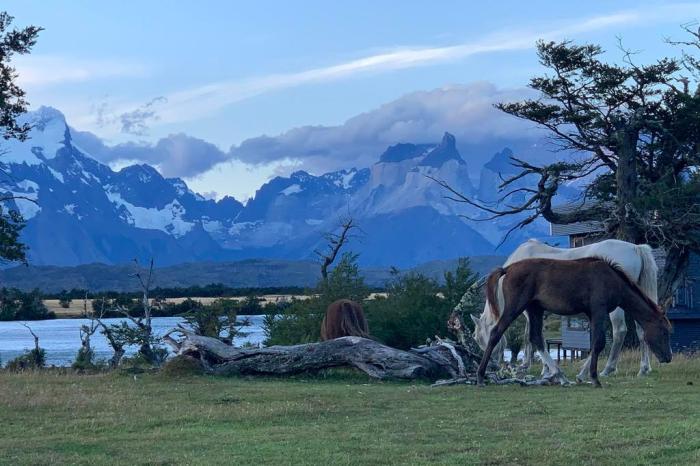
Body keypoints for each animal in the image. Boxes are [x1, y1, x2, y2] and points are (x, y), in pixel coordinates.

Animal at [468, 238, 660, 380]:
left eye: (477, 338)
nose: (493, 364)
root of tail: (635, 247)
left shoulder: (529, 311)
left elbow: (531, 337)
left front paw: (538, 368)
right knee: (643, 328)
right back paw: (643, 369)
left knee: (619, 331)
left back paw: (605, 369)